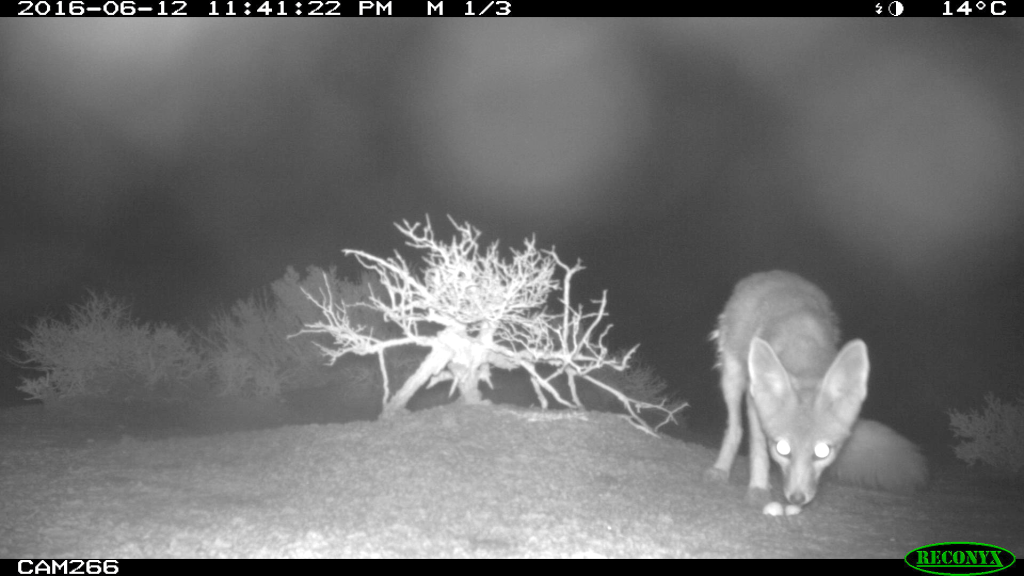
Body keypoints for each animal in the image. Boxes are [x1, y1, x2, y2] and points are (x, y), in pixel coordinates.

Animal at [704, 271, 927, 516]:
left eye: (823, 452)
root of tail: (773, 273)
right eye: (782, 449)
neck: (803, 348)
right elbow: (758, 448)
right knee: (735, 428)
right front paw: (758, 488)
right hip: (731, 378)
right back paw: (721, 469)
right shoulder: (755, 404)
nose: (797, 498)